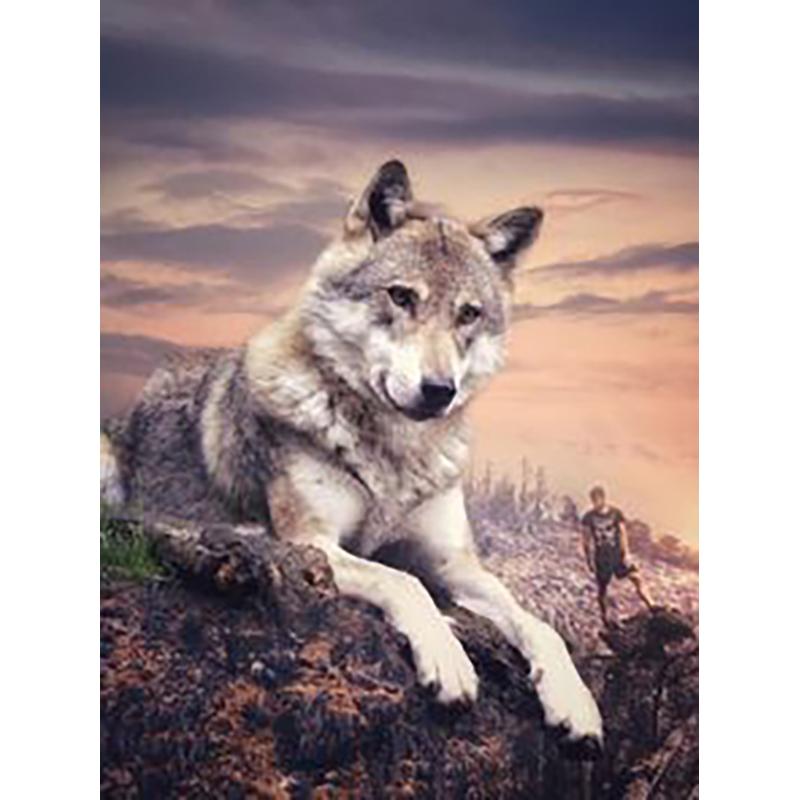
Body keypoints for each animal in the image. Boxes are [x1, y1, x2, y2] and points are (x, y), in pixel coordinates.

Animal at [101, 160, 602, 747]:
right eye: (401, 296)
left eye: (469, 314)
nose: (440, 390)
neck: (395, 455)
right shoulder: (315, 543)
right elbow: (403, 580)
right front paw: (449, 659)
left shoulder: (455, 563)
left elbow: (537, 625)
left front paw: (575, 703)